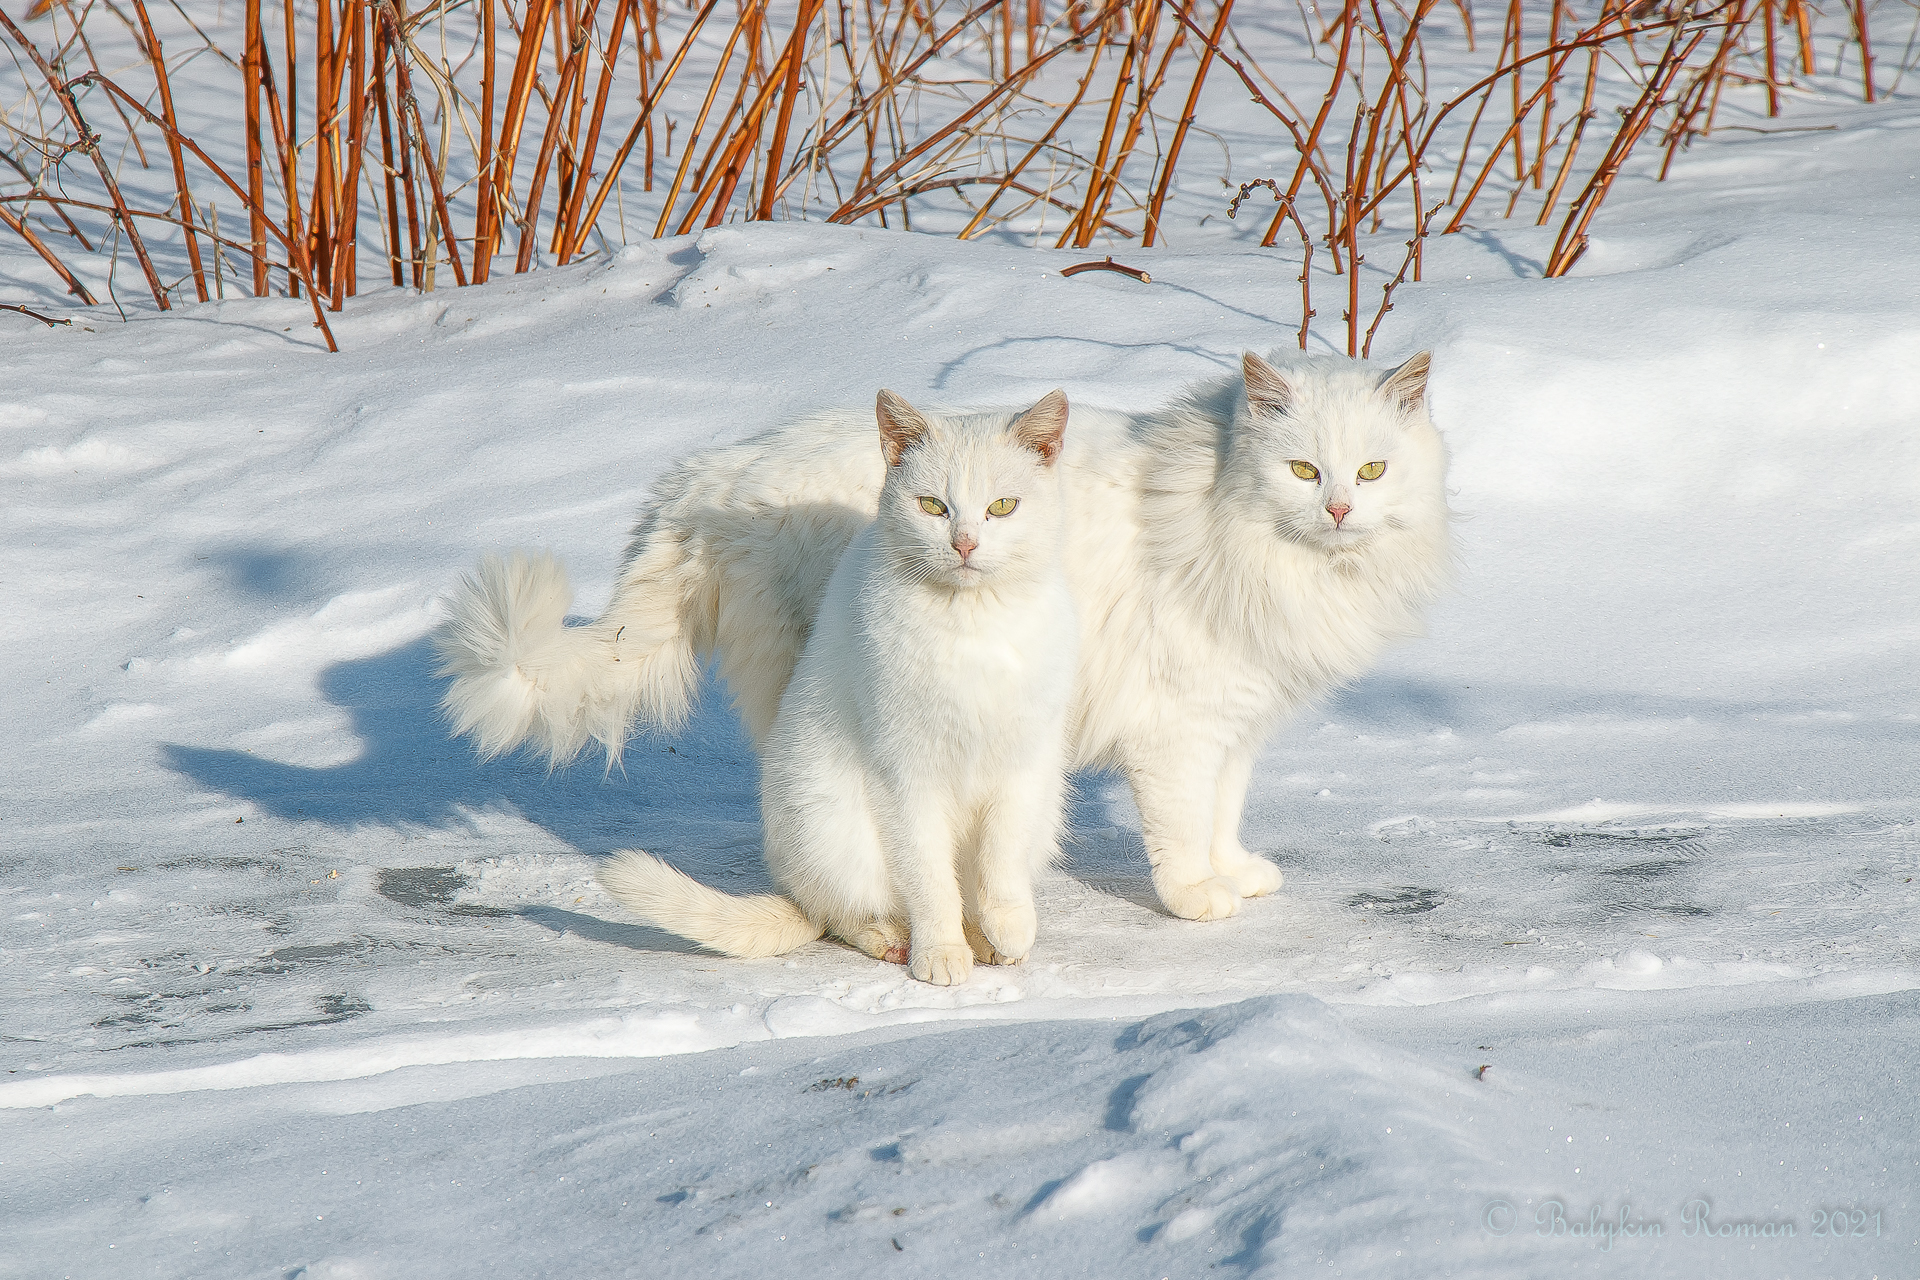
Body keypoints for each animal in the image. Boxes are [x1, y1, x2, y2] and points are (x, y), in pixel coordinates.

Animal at [439, 351, 1451, 924]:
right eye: (1303, 470)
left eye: (1371, 469)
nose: (1339, 508)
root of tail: (709, 470)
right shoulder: (1179, 729)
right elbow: (1180, 832)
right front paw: (1199, 899)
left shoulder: (1237, 716)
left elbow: (1225, 813)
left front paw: (1238, 874)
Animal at [595, 385, 1082, 990]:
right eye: (932, 506)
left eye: (1002, 506)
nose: (965, 543)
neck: (974, 626)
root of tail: (792, 883)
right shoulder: (905, 772)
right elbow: (929, 876)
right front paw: (940, 952)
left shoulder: (1023, 762)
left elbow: (1002, 858)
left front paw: (1009, 927)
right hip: (827, 819)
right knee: (842, 912)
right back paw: (899, 938)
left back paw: (985, 940)